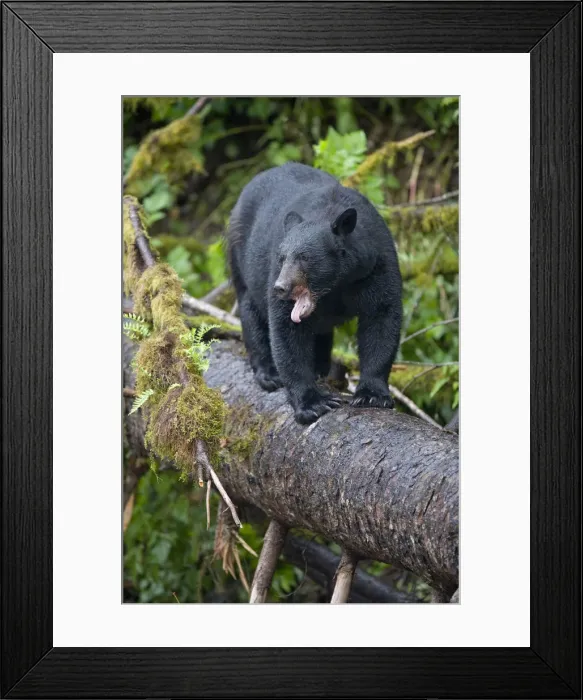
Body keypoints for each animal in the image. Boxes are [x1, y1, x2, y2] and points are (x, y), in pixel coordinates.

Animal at [227, 162, 402, 425]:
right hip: (239, 255)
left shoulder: (376, 266)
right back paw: (268, 373)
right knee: (251, 311)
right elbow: (286, 332)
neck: (337, 284)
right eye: (282, 257)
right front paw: (313, 403)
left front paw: (372, 395)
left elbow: (382, 317)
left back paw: (320, 366)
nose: (280, 287)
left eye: (304, 258)